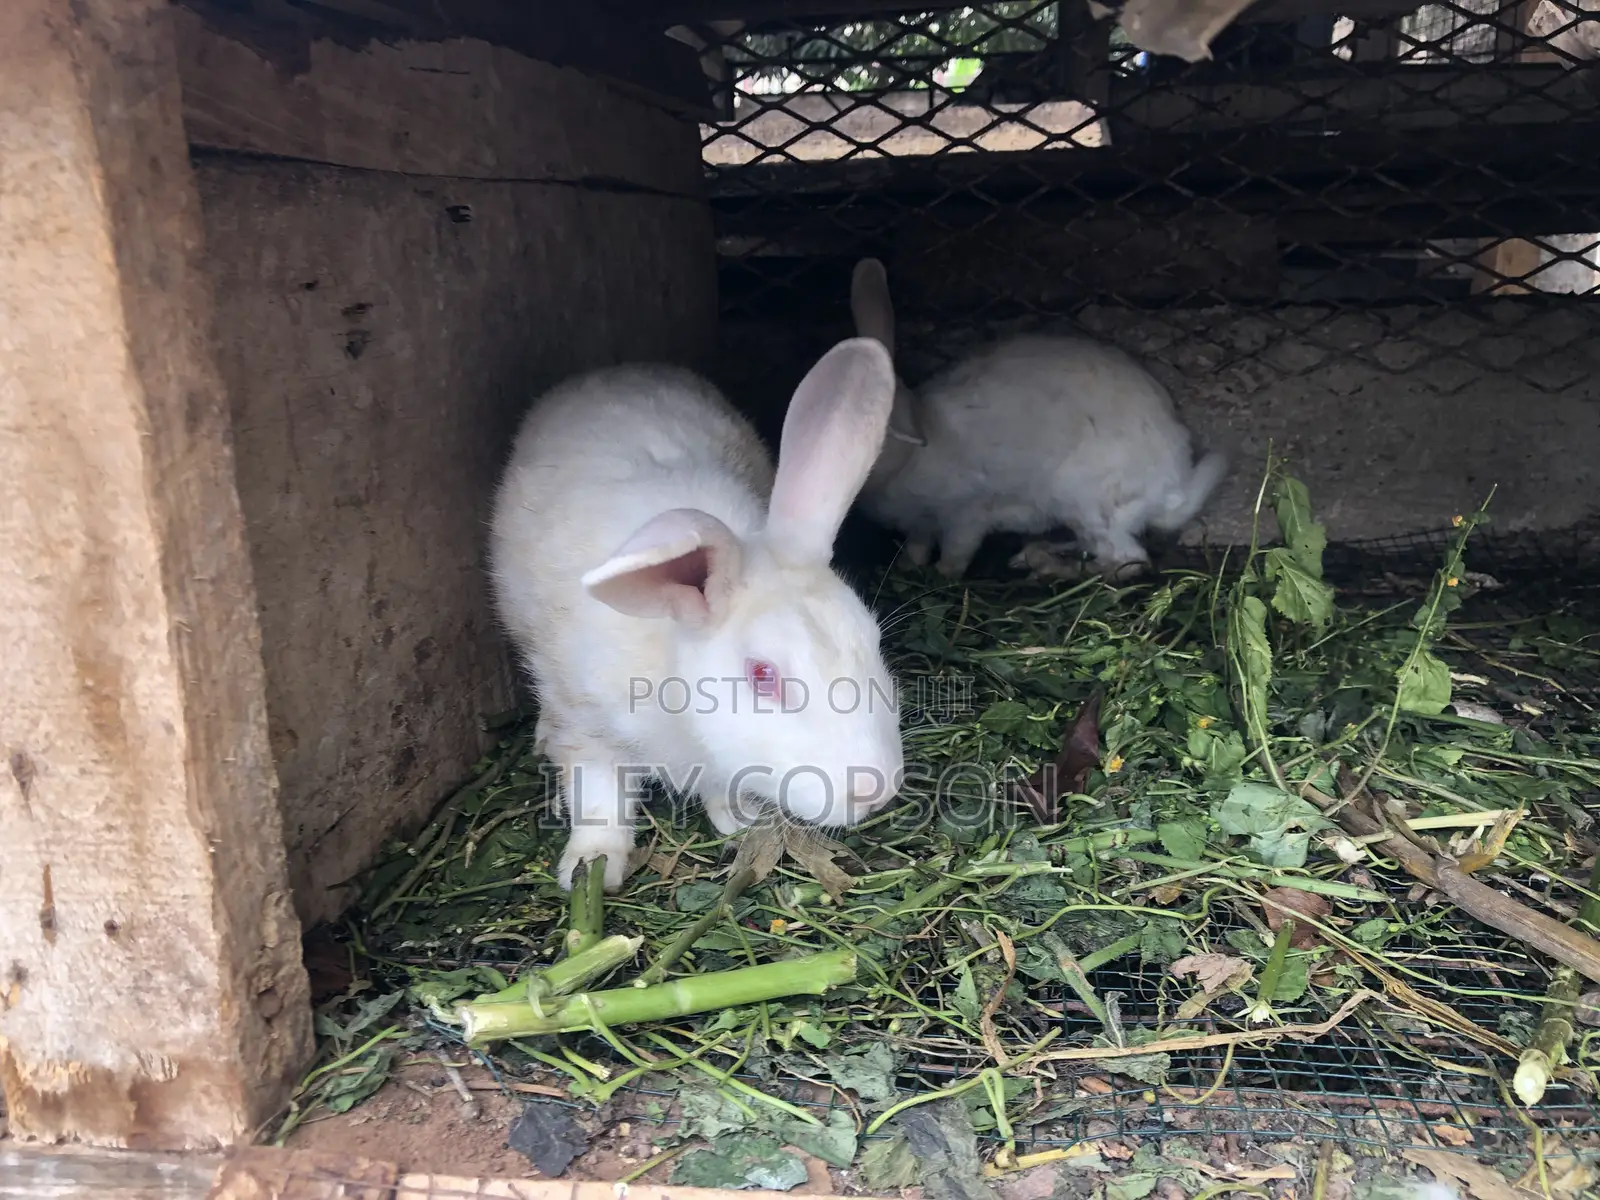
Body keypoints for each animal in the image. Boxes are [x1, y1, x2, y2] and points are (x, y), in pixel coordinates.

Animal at [489, 339, 907, 892]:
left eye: (873, 640)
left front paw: (738, 817)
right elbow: (597, 795)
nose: (877, 790)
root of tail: (616, 370)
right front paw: (590, 869)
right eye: (762, 674)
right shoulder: (587, 722)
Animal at [849, 257, 1227, 581]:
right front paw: (906, 568)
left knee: (1125, 561)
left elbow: (957, 553)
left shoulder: (967, 512)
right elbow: (917, 547)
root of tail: (1173, 487)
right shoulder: (921, 525)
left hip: (1085, 501)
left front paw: (942, 575)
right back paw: (1035, 553)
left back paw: (1049, 567)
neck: (911, 453)